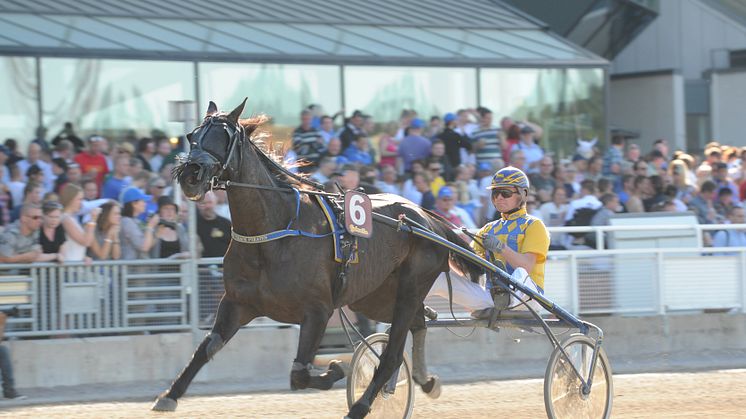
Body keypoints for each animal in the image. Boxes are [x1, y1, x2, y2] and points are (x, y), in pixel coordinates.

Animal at [152, 100, 480, 418]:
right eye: (192, 136)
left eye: (224, 138)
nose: (190, 174)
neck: (274, 232)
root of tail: (425, 218)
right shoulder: (237, 302)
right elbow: (206, 349)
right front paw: (168, 396)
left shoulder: (318, 310)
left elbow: (298, 373)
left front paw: (335, 369)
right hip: (375, 296)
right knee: (416, 325)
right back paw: (425, 380)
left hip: (412, 286)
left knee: (392, 353)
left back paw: (360, 406)